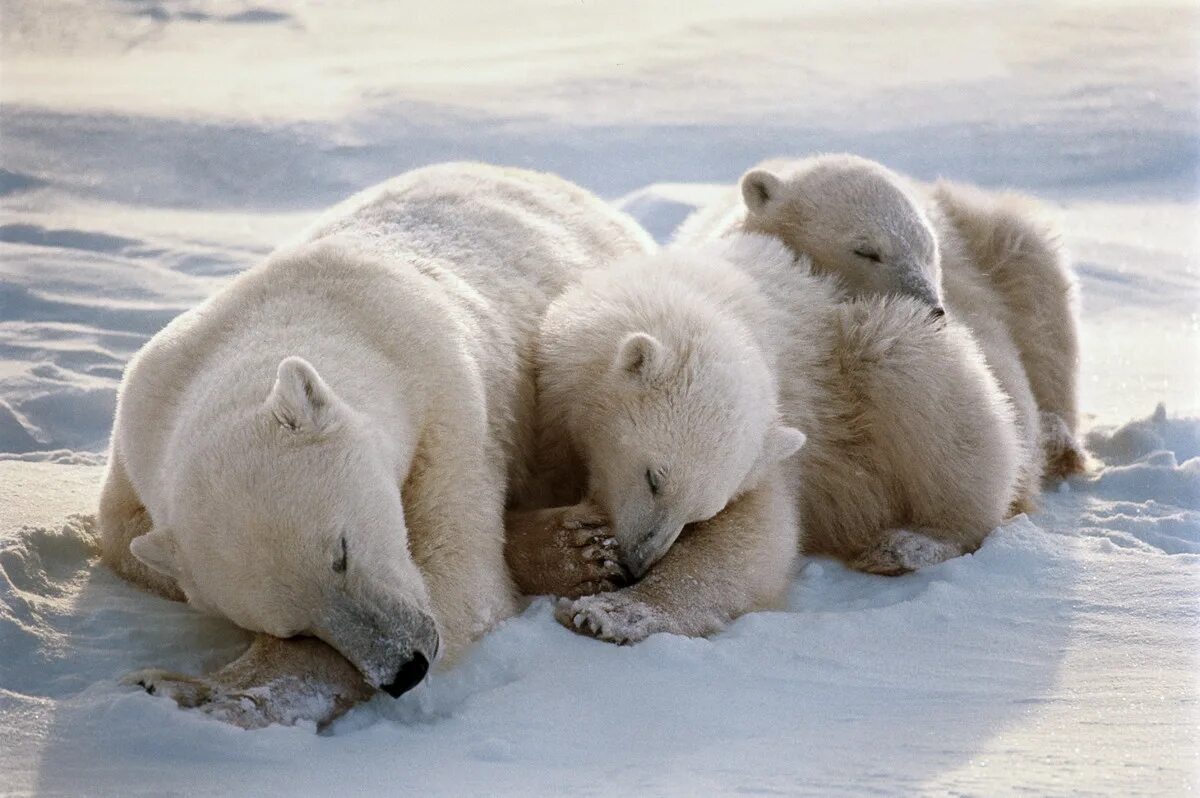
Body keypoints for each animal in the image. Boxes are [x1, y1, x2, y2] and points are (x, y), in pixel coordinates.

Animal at [535, 234, 1022, 643]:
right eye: (654, 478)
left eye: (700, 514)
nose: (637, 562)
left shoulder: (777, 439)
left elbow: (757, 535)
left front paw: (607, 613)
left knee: (905, 363)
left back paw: (904, 545)